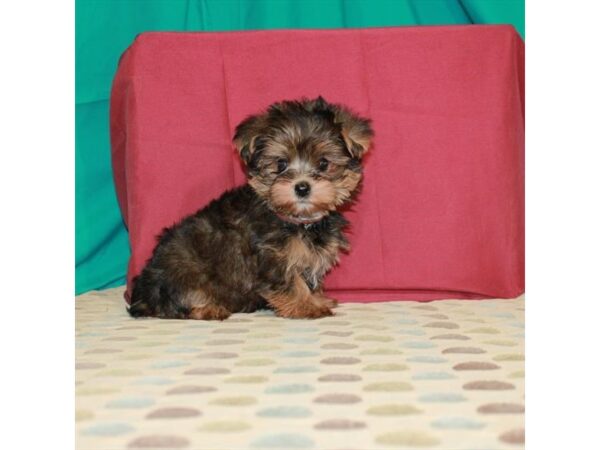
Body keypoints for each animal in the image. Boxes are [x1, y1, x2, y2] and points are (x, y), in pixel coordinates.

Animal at [129, 96, 372, 320]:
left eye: (323, 163)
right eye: (280, 164)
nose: (302, 187)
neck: (296, 220)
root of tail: (142, 295)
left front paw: (317, 298)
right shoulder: (272, 257)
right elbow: (291, 281)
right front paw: (305, 306)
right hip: (182, 270)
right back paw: (209, 308)